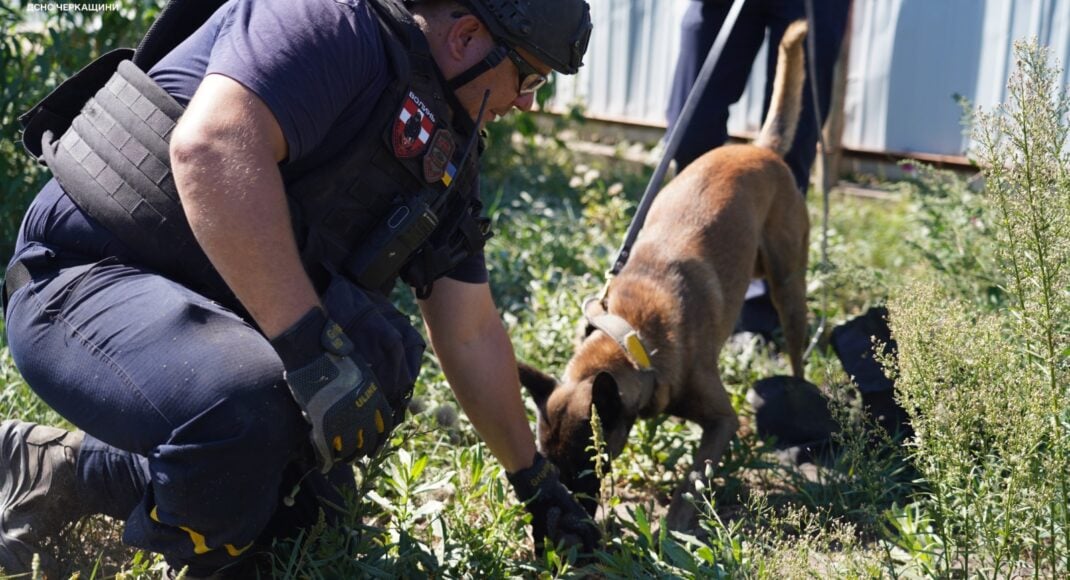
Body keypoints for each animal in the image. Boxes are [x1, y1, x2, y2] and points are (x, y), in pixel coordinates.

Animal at [520, 21, 808, 532]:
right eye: (550, 467)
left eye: (588, 467)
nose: (571, 521)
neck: (632, 334)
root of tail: (759, 149)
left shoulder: (721, 421)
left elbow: (691, 482)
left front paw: (672, 534)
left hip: (786, 284)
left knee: (796, 345)